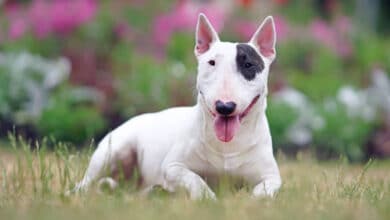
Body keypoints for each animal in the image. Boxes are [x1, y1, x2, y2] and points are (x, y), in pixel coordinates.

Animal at [71, 13, 282, 199]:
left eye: (248, 65)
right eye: (211, 62)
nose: (224, 106)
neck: (227, 147)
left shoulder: (271, 177)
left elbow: (263, 192)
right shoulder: (173, 167)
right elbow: (195, 179)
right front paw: (207, 198)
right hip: (114, 151)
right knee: (87, 182)